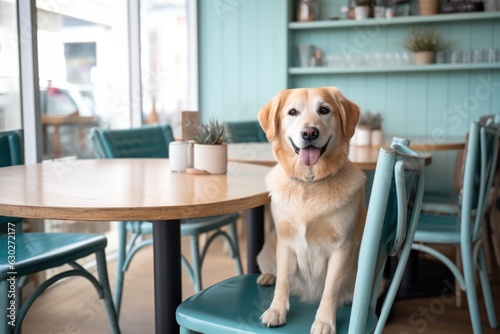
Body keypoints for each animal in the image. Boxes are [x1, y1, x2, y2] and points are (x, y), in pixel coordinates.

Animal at [256, 87, 366, 334]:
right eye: (292, 112)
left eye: (324, 110)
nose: (309, 133)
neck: (310, 182)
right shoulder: (286, 242)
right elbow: (283, 282)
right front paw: (276, 311)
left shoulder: (341, 247)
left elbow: (330, 290)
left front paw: (324, 322)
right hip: (268, 247)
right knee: (273, 271)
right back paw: (267, 276)